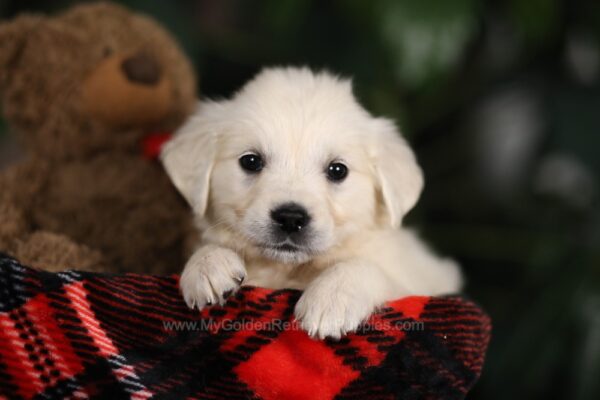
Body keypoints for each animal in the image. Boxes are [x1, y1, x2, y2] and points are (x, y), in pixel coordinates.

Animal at [159, 67, 460, 340]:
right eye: (251, 161)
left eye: (338, 170)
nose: (291, 218)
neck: (290, 269)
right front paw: (207, 264)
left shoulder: (417, 278)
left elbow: (370, 268)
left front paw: (331, 297)